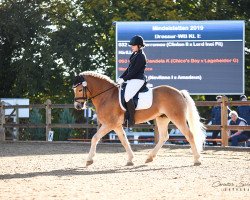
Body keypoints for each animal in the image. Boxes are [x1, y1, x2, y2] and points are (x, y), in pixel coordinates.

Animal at [73, 71, 206, 166]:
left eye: (79, 89)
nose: (77, 106)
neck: (107, 95)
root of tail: (179, 92)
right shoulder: (116, 125)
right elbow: (124, 140)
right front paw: (130, 160)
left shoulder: (109, 124)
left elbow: (95, 138)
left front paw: (89, 160)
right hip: (162, 118)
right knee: (164, 137)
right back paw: (149, 157)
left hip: (177, 118)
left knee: (189, 135)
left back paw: (197, 160)